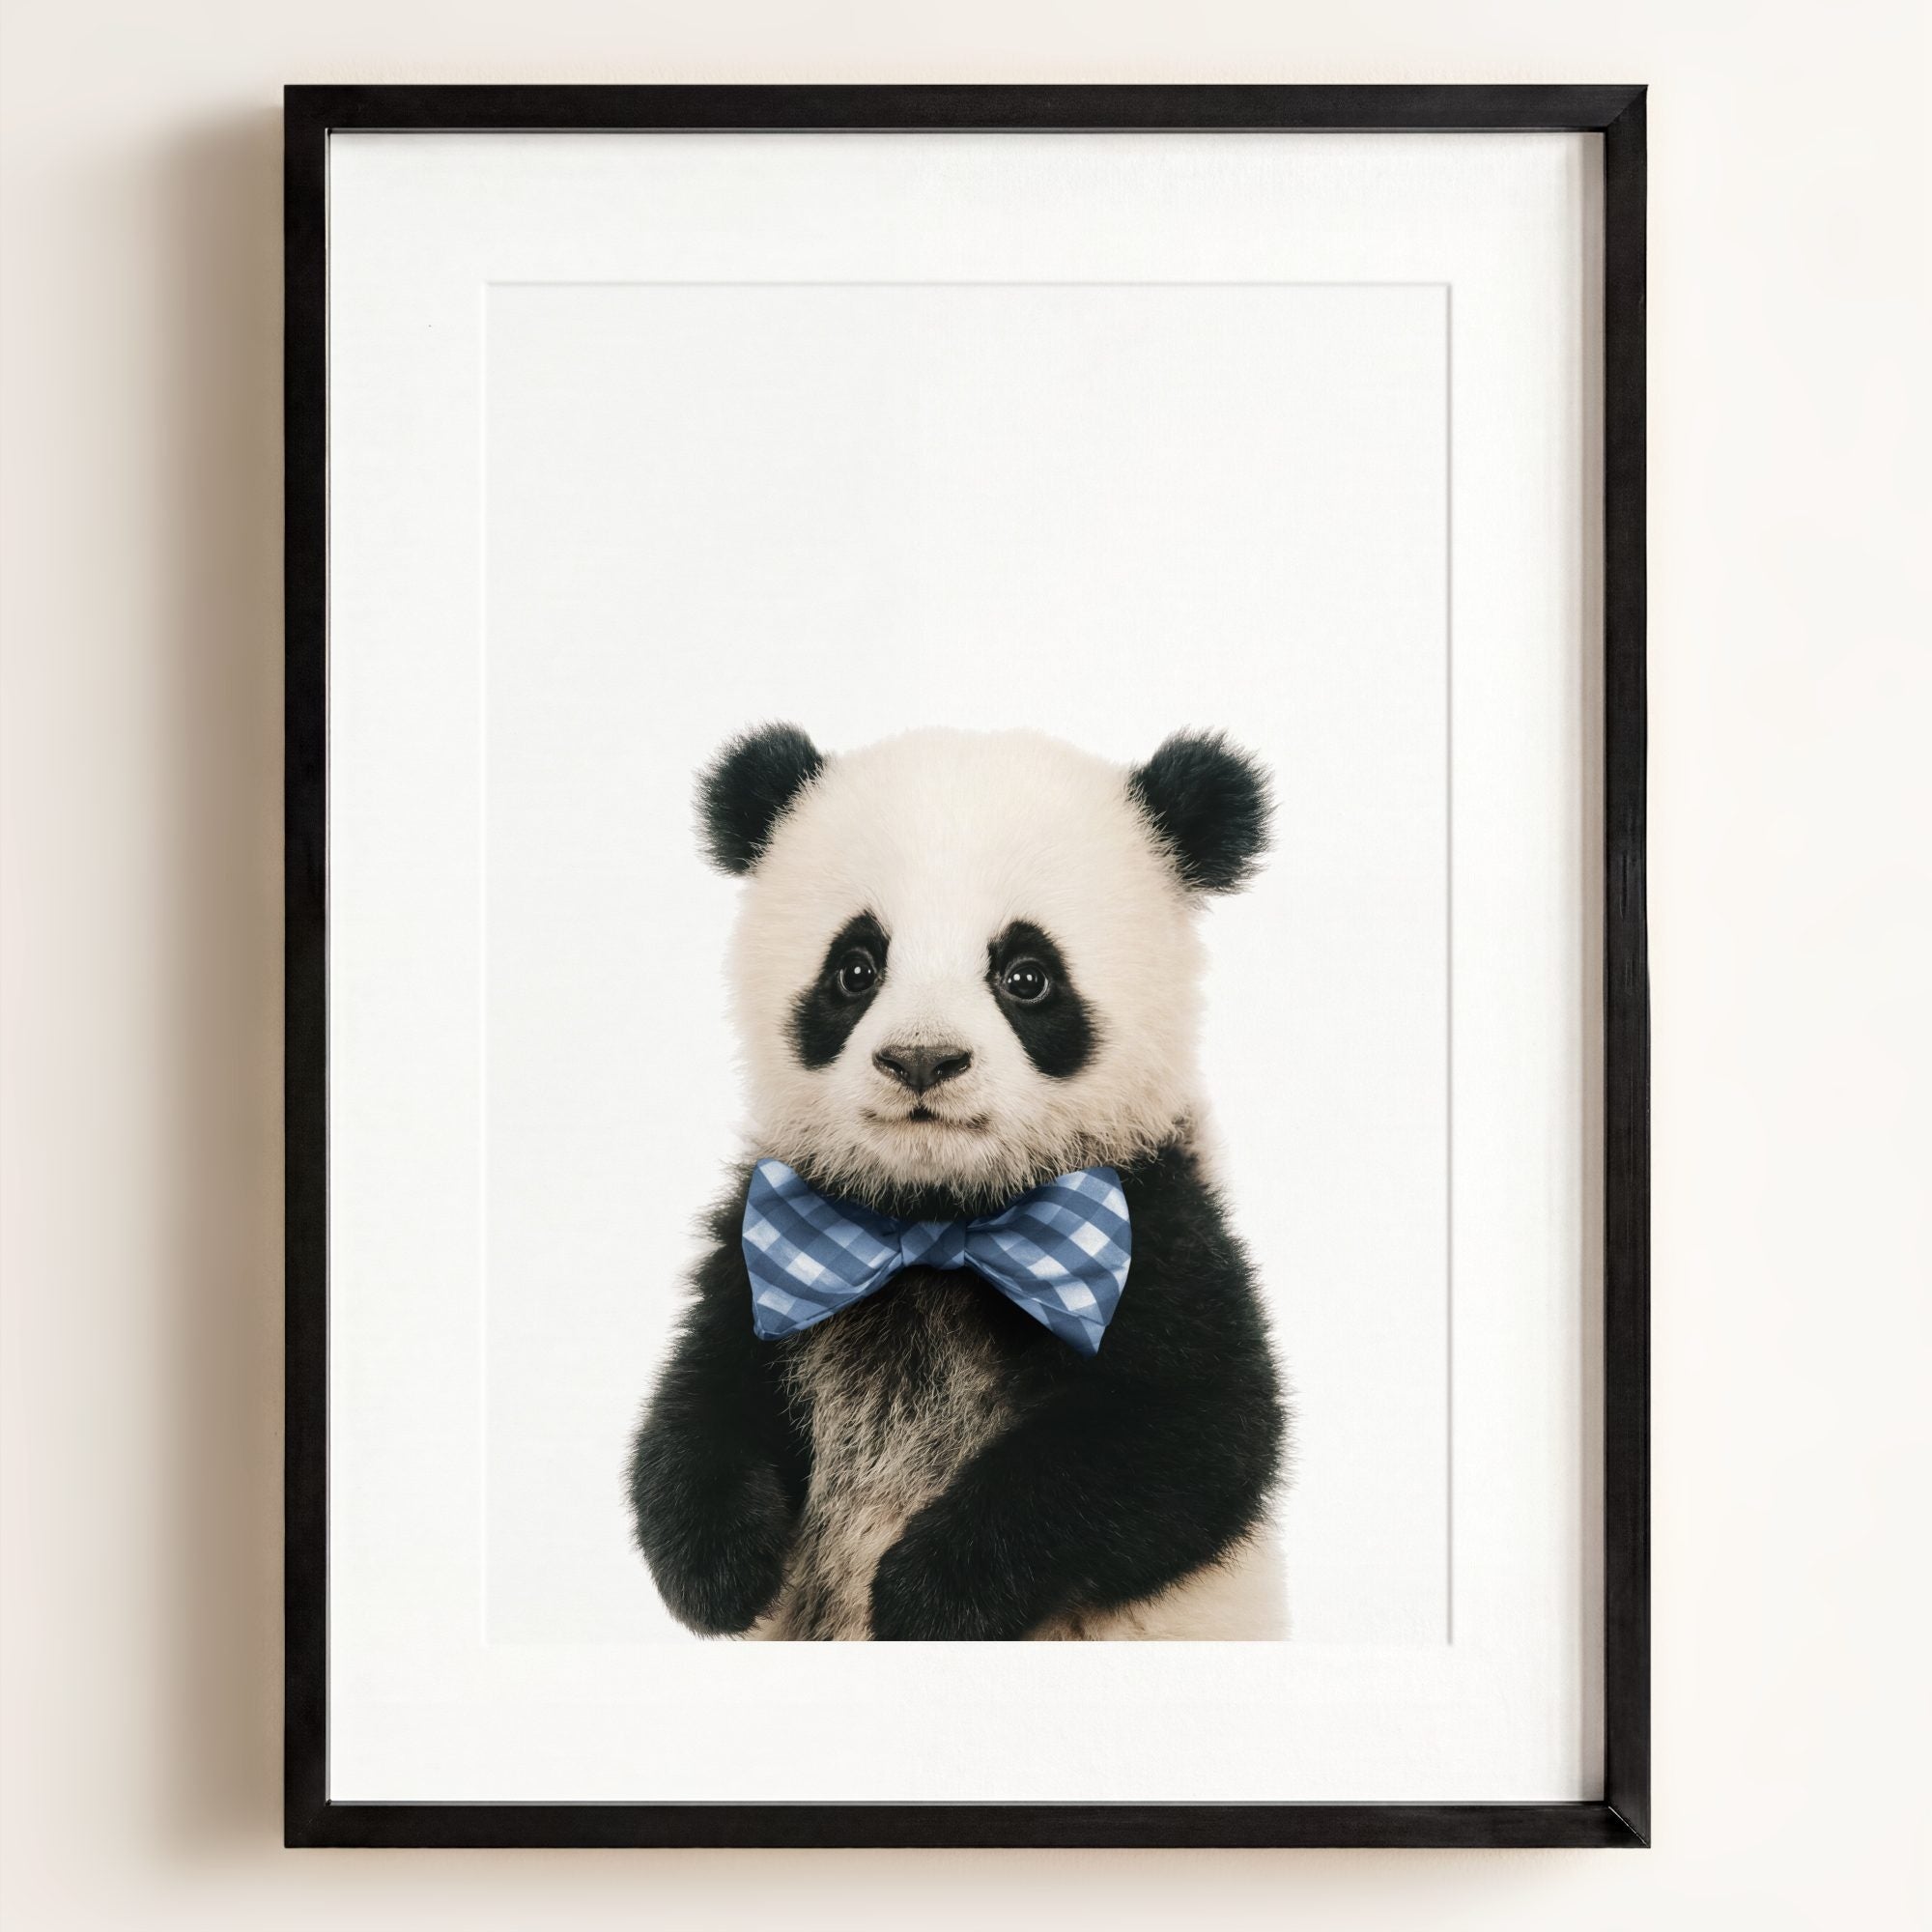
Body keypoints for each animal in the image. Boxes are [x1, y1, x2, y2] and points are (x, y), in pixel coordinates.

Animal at [628, 723, 1288, 1641]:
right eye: (856, 968)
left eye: (1027, 975)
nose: (922, 1059)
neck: (937, 1223)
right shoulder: (767, 1240)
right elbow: (705, 1396)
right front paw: (720, 1569)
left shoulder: (1159, 1230)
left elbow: (1189, 1438)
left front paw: (928, 1593)